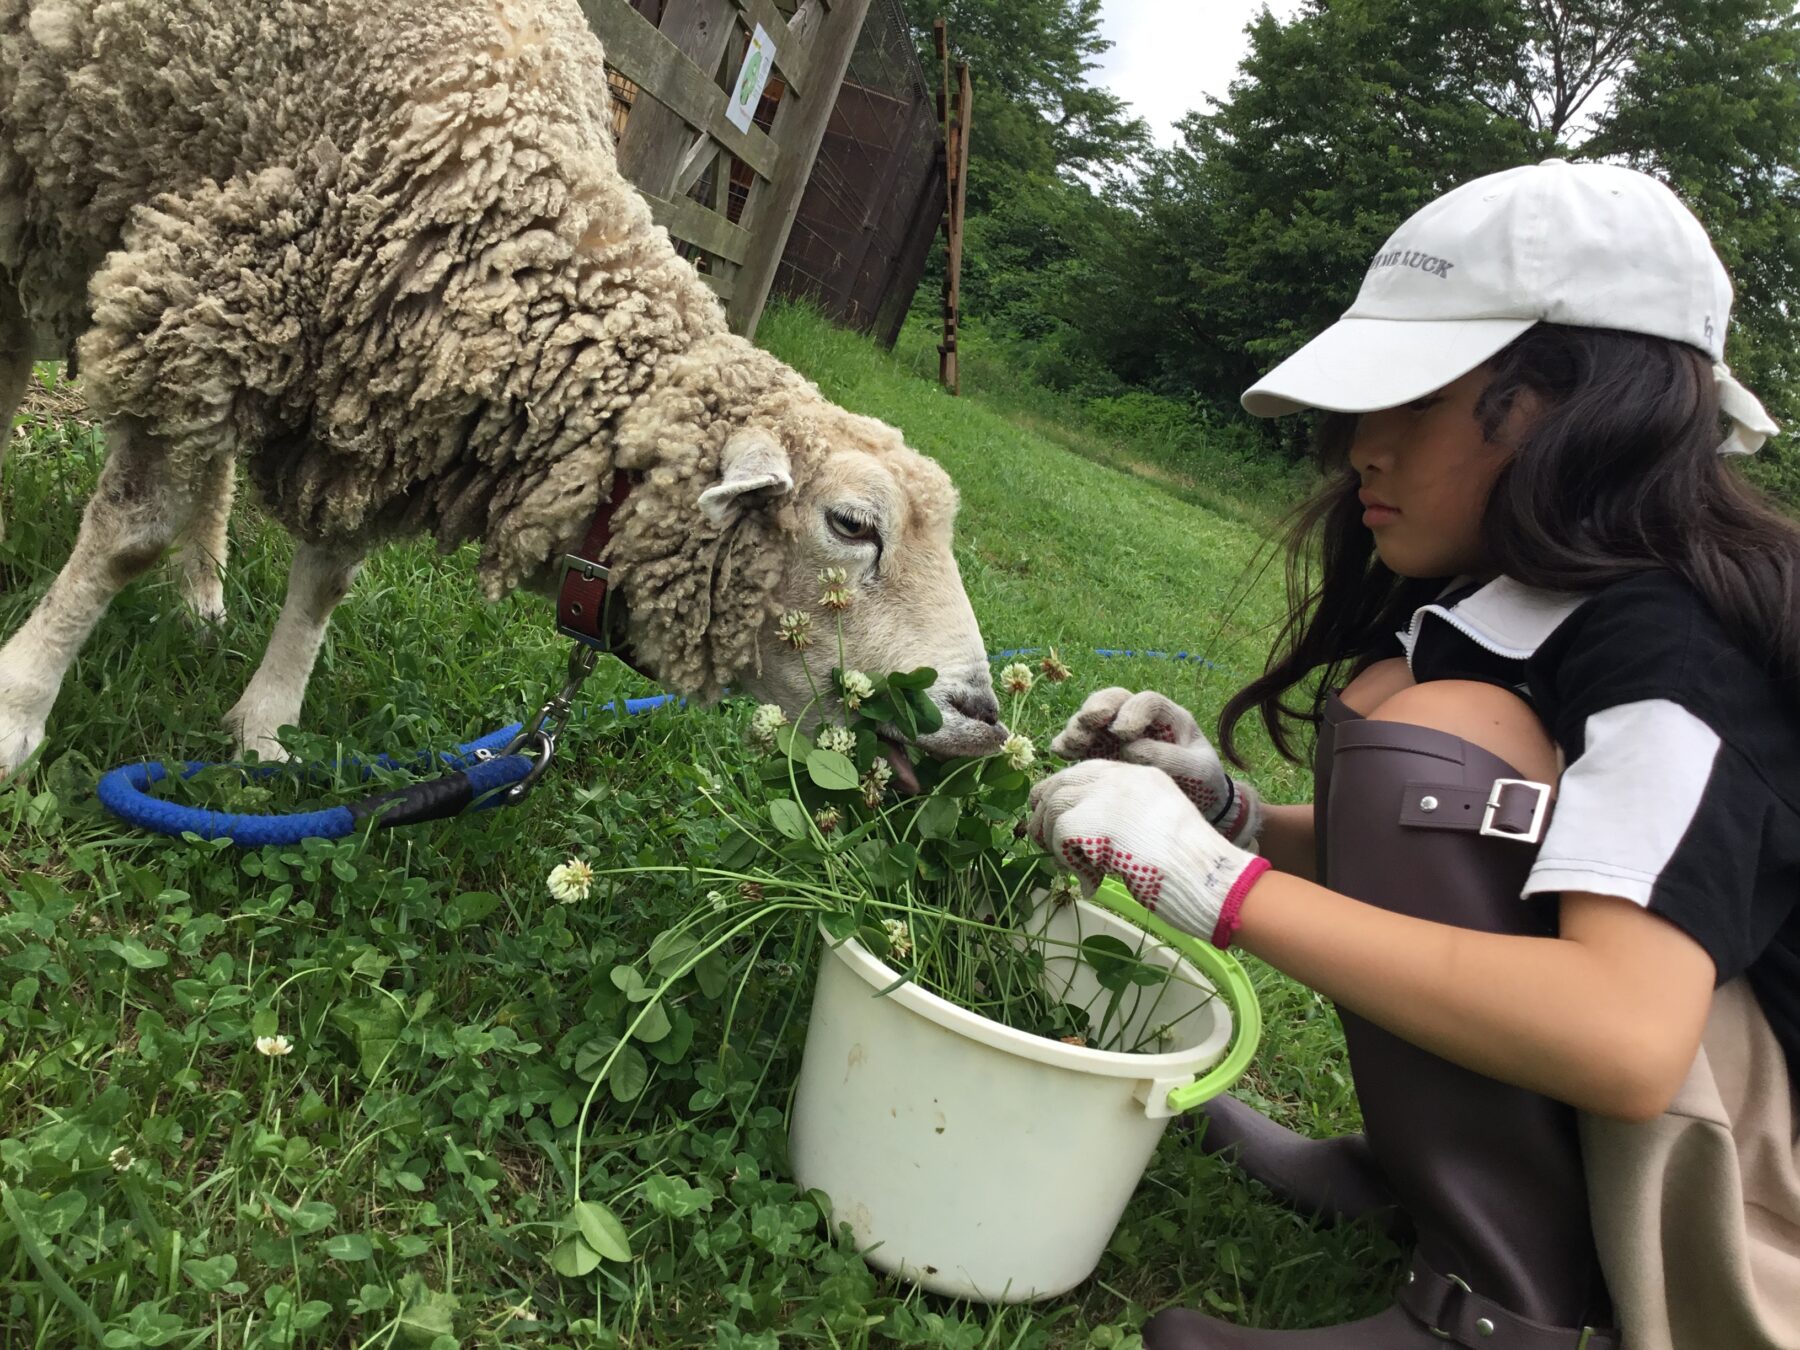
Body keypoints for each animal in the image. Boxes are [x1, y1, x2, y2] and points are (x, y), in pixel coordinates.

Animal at [0, 0, 1008, 781]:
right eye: (852, 525)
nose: (985, 716)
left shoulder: (374, 397)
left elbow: (325, 580)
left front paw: (267, 730)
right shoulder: (218, 285)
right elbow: (130, 535)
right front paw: (19, 707)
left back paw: (203, 592)